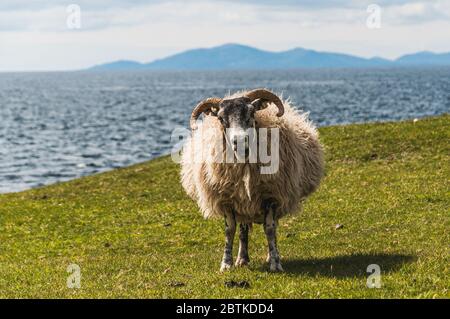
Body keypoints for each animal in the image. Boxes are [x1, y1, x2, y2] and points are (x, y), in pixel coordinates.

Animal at [179, 88, 324, 272]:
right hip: (243, 204)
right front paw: (226, 264)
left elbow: (270, 229)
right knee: (243, 229)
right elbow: (230, 230)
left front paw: (275, 262)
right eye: (220, 118)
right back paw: (242, 259)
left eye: (251, 112)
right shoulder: (227, 199)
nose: (240, 141)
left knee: (272, 226)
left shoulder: (271, 196)